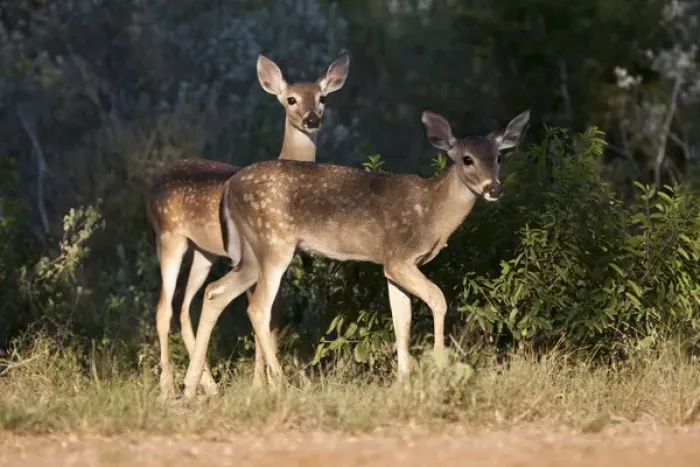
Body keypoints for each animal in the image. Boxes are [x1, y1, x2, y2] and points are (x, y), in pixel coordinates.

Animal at [145, 51, 351, 399]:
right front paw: (262, 385)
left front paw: (261, 383)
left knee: (185, 307)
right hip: (170, 237)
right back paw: (169, 387)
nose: (312, 119)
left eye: (322, 98)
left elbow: (271, 317)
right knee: (164, 307)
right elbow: (258, 312)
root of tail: (152, 185)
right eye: (291, 99)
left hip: (204, 251)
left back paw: (207, 385)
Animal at [179, 108, 530, 398]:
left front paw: (403, 381)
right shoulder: (400, 258)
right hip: (274, 241)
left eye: (499, 157)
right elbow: (438, 299)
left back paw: (192, 386)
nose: (494, 189)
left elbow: (401, 319)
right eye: (466, 159)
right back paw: (280, 385)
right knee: (257, 307)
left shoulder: (391, 266)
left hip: (252, 253)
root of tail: (229, 188)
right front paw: (439, 370)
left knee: (216, 292)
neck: (433, 213)